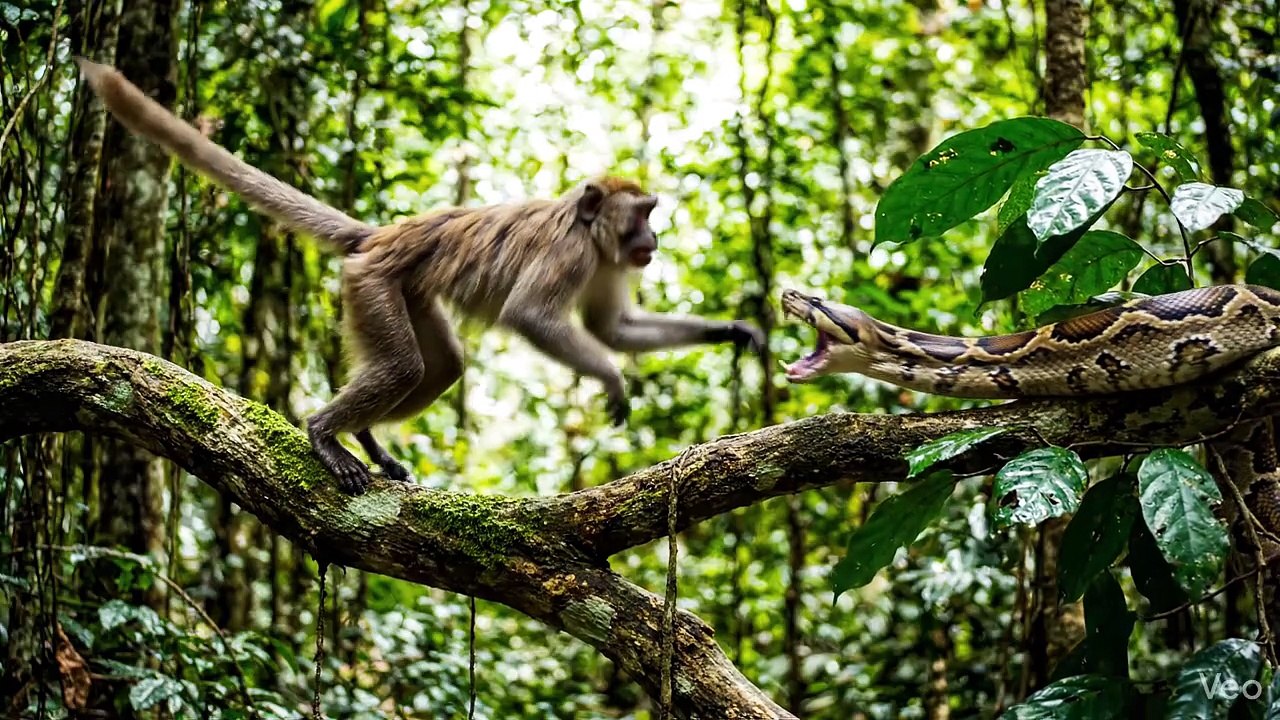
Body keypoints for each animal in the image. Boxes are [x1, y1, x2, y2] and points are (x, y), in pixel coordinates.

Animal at [76, 58, 766, 494]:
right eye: (644, 214)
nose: (653, 240)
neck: (590, 232)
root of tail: (381, 236)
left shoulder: (602, 264)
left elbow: (612, 327)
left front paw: (732, 331)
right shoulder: (571, 254)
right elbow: (533, 318)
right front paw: (612, 378)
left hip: (400, 291)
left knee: (442, 365)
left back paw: (367, 438)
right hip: (372, 283)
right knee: (408, 365)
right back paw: (325, 433)